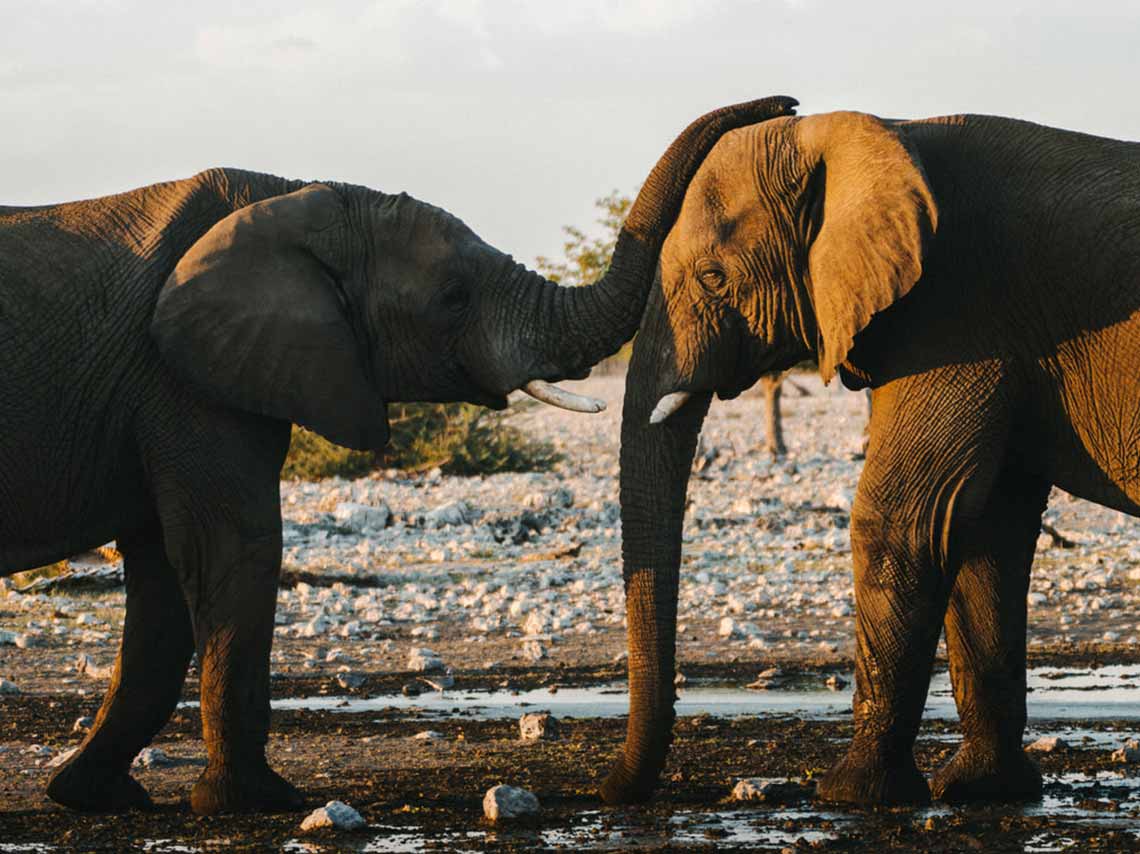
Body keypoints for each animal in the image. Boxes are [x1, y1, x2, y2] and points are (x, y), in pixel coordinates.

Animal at [0, 96, 798, 816]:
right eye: (453, 296)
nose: (786, 104)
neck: (292, 195)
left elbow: (163, 580)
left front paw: (99, 797)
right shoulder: (182, 380)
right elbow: (235, 550)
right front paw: (259, 802)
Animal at [606, 101, 1140, 807]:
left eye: (714, 278)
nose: (611, 789)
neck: (878, 132)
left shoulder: (955, 315)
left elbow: (902, 520)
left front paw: (850, 795)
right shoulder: (1002, 347)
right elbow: (985, 534)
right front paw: (980, 789)